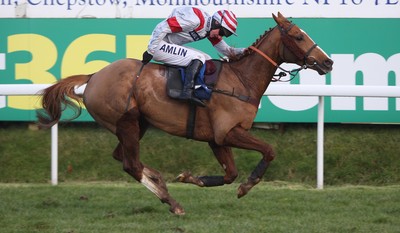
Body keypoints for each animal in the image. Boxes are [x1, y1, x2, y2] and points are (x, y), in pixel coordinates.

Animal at [37, 13, 332, 215]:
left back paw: (160, 182)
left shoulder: (216, 138)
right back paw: (172, 202)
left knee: (123, 157)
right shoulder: (228, 132)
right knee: (131, 164)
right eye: (298, 36)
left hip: (137, 124)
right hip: (127, 122)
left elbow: (230, 174)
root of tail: (94, 76)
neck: (241, 81)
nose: (328, 62)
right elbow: (268, 151)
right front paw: (247, 185)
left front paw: (190, 178)